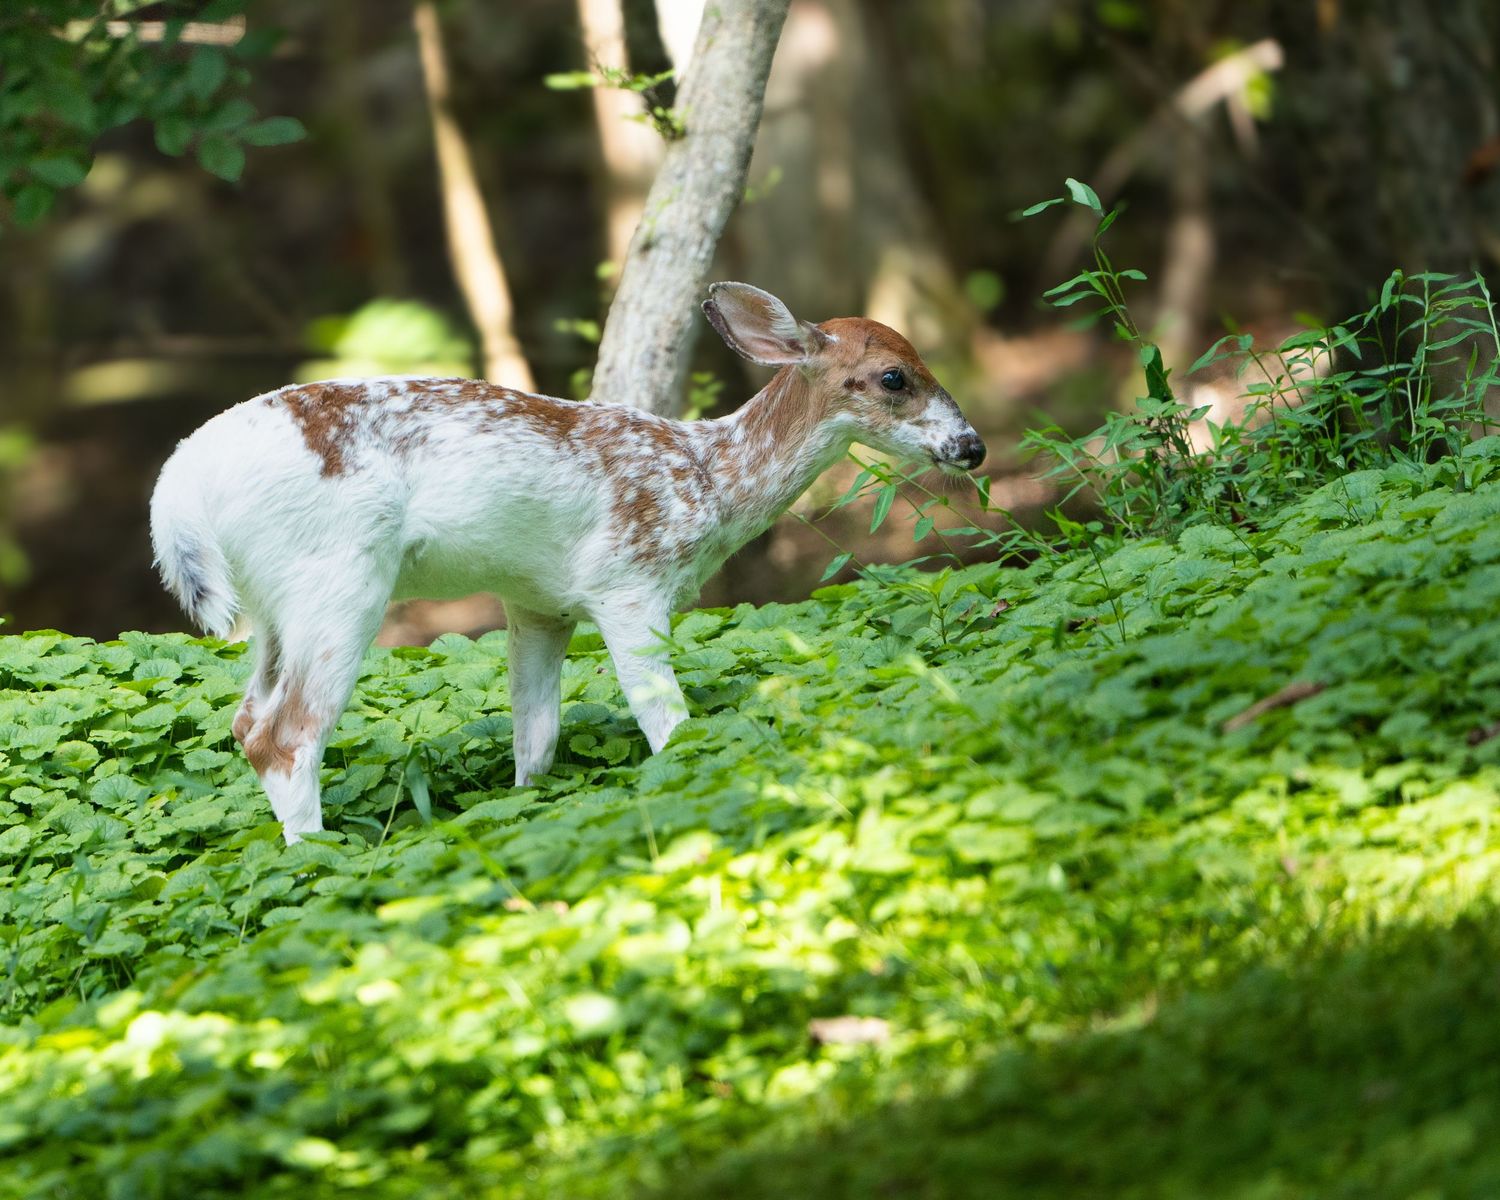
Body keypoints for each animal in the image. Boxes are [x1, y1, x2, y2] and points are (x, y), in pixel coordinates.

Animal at [150, 283, 986, 843]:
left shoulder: (536, 601)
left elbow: (537, 736)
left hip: (270, 607)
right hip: (338, 576)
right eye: (894, 377)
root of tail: (178, 489)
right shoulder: (629, 579)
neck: (708, 478)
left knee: (246, 718)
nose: (972, 446)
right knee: (287, 733)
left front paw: (528, 802)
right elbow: (665, 718)